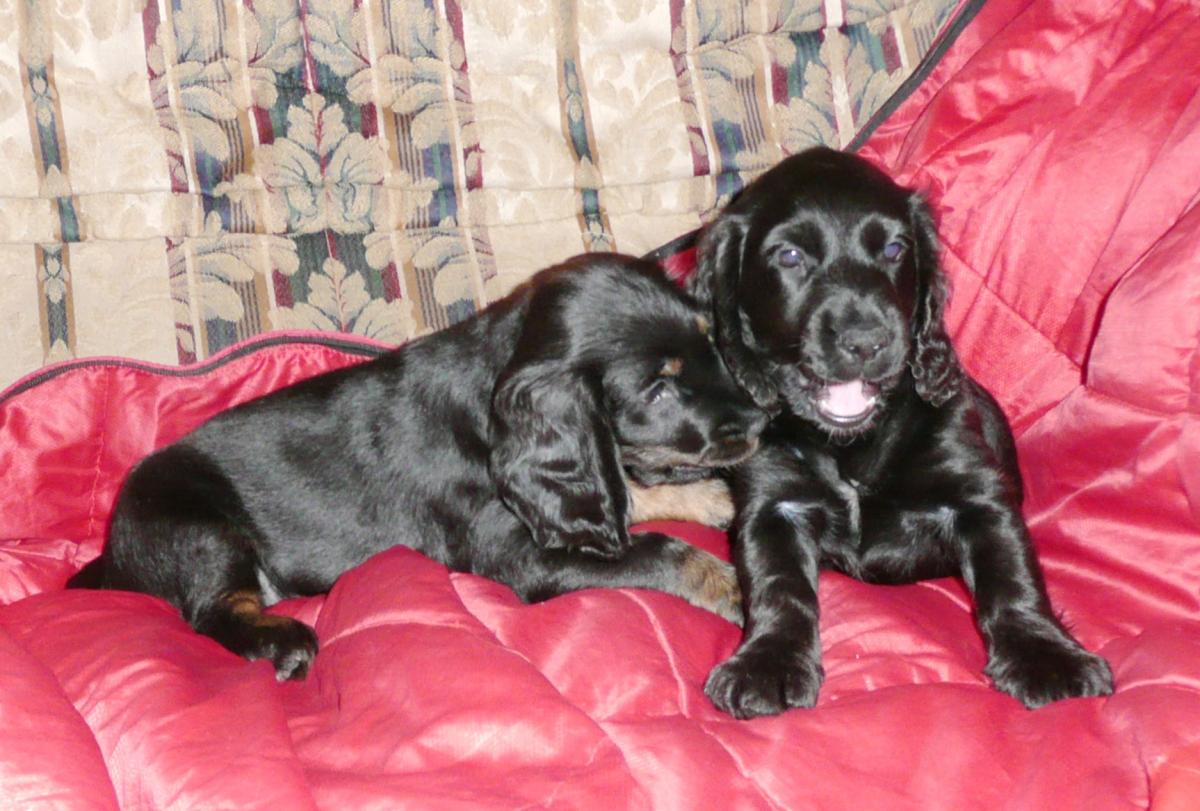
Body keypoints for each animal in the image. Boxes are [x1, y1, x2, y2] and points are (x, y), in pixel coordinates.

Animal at [69, 254, 767, 679]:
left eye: (712, 342)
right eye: (658, 389)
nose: (763, 420)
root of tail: (115, 553)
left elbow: (624, 490)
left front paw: (718, 500)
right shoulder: (520, 555)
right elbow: (661, 547)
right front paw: (740, 589)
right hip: (197, 525)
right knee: (212, 609)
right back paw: (283, 642)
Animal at [688, 147, 1113, 717]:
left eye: (894, 250)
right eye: (790, 256)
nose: (868, 341)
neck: (849, 447)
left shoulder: (980, 497)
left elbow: (1012, 577)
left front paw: (1047, 656)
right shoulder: (773, 505)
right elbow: (778, 588)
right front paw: (768, 662)